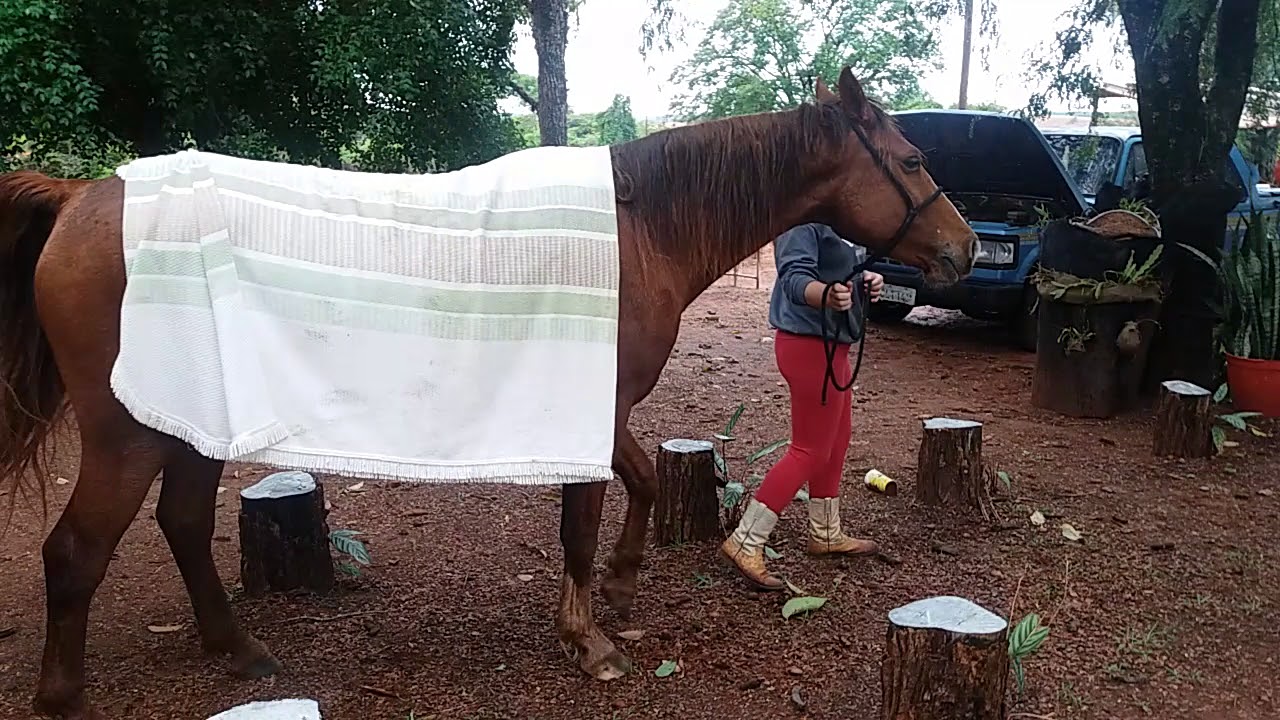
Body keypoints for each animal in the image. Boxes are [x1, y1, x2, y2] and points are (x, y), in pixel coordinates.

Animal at [0, 67, 977, 720]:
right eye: (911, 158)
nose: (964, 247)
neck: (639, 225)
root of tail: (83, 197)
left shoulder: (609, 410)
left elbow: (643, 484)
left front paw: (622, 589)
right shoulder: (590, 405)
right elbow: (581, 520)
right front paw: (589, 640)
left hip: (193, 423)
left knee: (183, 525)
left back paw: (240, 652)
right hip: (126, 436)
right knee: (76, 552)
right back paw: (66, 695)